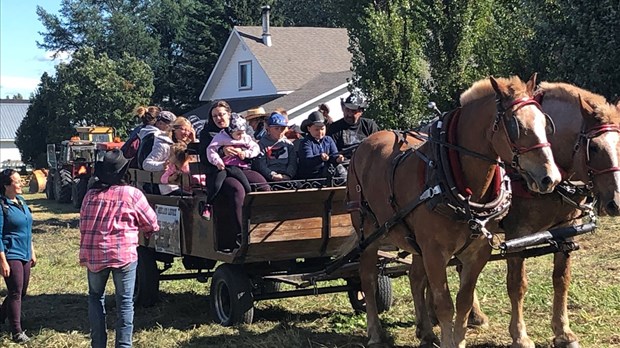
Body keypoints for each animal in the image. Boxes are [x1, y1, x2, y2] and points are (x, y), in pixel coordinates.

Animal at [344, 75, 560, 346]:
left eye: (545, 122)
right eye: (516, 126)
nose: (550, 178)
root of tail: (364, 146)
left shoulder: (477, 252)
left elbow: (463, 301)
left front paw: (458, 338)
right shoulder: (435, 253)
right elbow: (444, 303)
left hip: (415, 241)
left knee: (415, 278)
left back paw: (426, 332)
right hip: (369, 233)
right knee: (368, 279)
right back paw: (374, 332)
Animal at [462, 82, 620, 348]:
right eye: (595, 147)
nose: (616, 202)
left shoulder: (566, 230)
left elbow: (561, 279)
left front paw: (564, 332)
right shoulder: (517, 235)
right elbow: (517, 285)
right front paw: (520, 335)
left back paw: (473, 315)